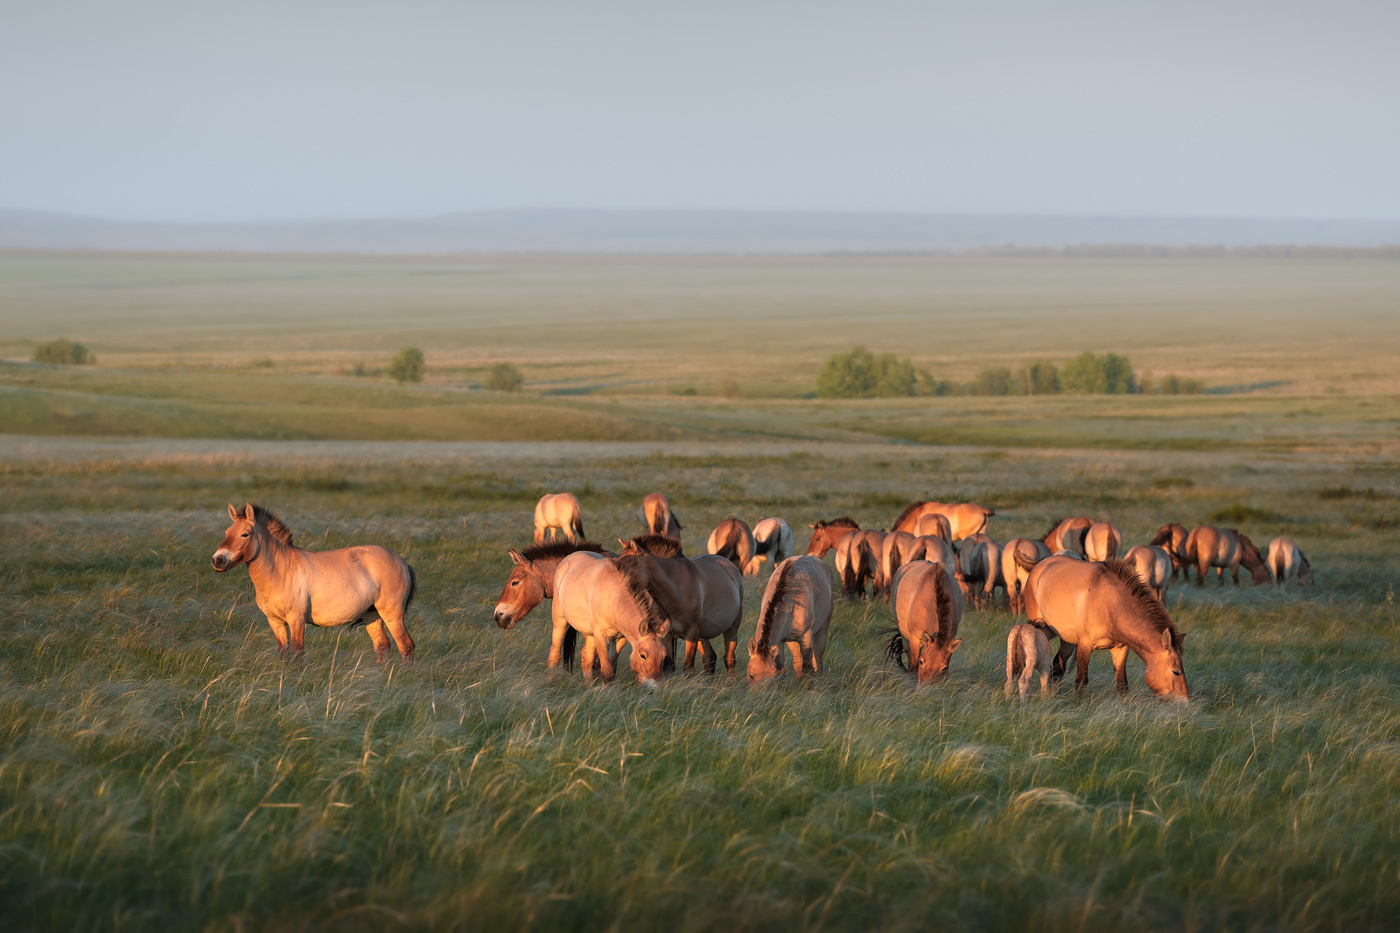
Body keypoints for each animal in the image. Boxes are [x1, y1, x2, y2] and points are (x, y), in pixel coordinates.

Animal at [211, 503, 416, 662]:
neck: (280, 571)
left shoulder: (296, 619)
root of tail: (402, 562)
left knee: (406, 646)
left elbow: (297, 652)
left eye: (245, 534)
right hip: (371, 615)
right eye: (227, 532)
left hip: (392, 615)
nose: (218, 560)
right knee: (382, 646)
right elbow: (284, 653)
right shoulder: (275, 621)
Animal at [549, 551, 670, 684]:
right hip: (560, 622)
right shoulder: (601, 636)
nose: (653, 686)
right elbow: (607, 671)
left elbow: (612, 669)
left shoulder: (620, 638)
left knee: (586, 657)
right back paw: (550, 681)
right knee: (554, 654)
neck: (613, 597)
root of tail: (569, 557)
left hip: (590, 634)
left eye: (663, 656)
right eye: (643, 655)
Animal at [615, 536, 744, 673]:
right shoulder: (667, 636)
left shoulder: (691, 633)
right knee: (709, 657)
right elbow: (669, 666)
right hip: (702, 636)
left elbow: (688, 668)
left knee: (729, 659)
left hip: (731, 629)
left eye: (627, 568)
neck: (675, 593)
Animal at [1023, 557, 1188, 700]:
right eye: (1176, 672)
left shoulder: (1120, 650)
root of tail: (1040, 566)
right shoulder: (1084, 646)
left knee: (1058, 668)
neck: (1110, 605)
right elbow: (1081, 681)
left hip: (1067, 640)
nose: (1184, 702)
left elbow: (1122, 684)